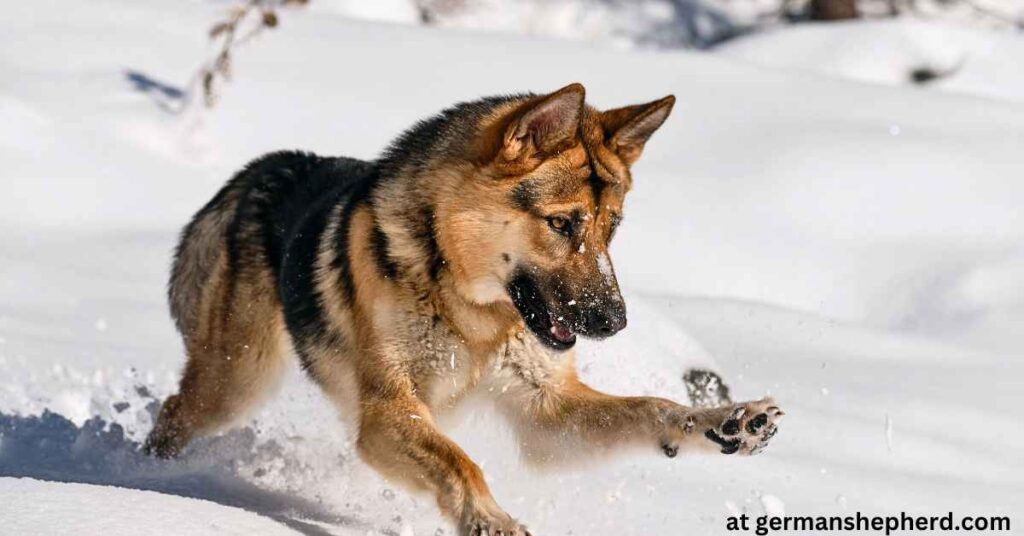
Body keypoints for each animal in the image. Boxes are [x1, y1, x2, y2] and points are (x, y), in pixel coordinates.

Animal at [146, 84, 782, 536]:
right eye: (561, 223)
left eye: (612, 227)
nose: (614, 322)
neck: (470, 310)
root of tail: (264, 168)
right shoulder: (386, 412)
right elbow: (459, 461)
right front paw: (490, 520)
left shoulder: (546, 412)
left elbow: (653, 408)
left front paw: (727, 421)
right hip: (237, 383)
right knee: (173, 414)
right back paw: (149, 476)